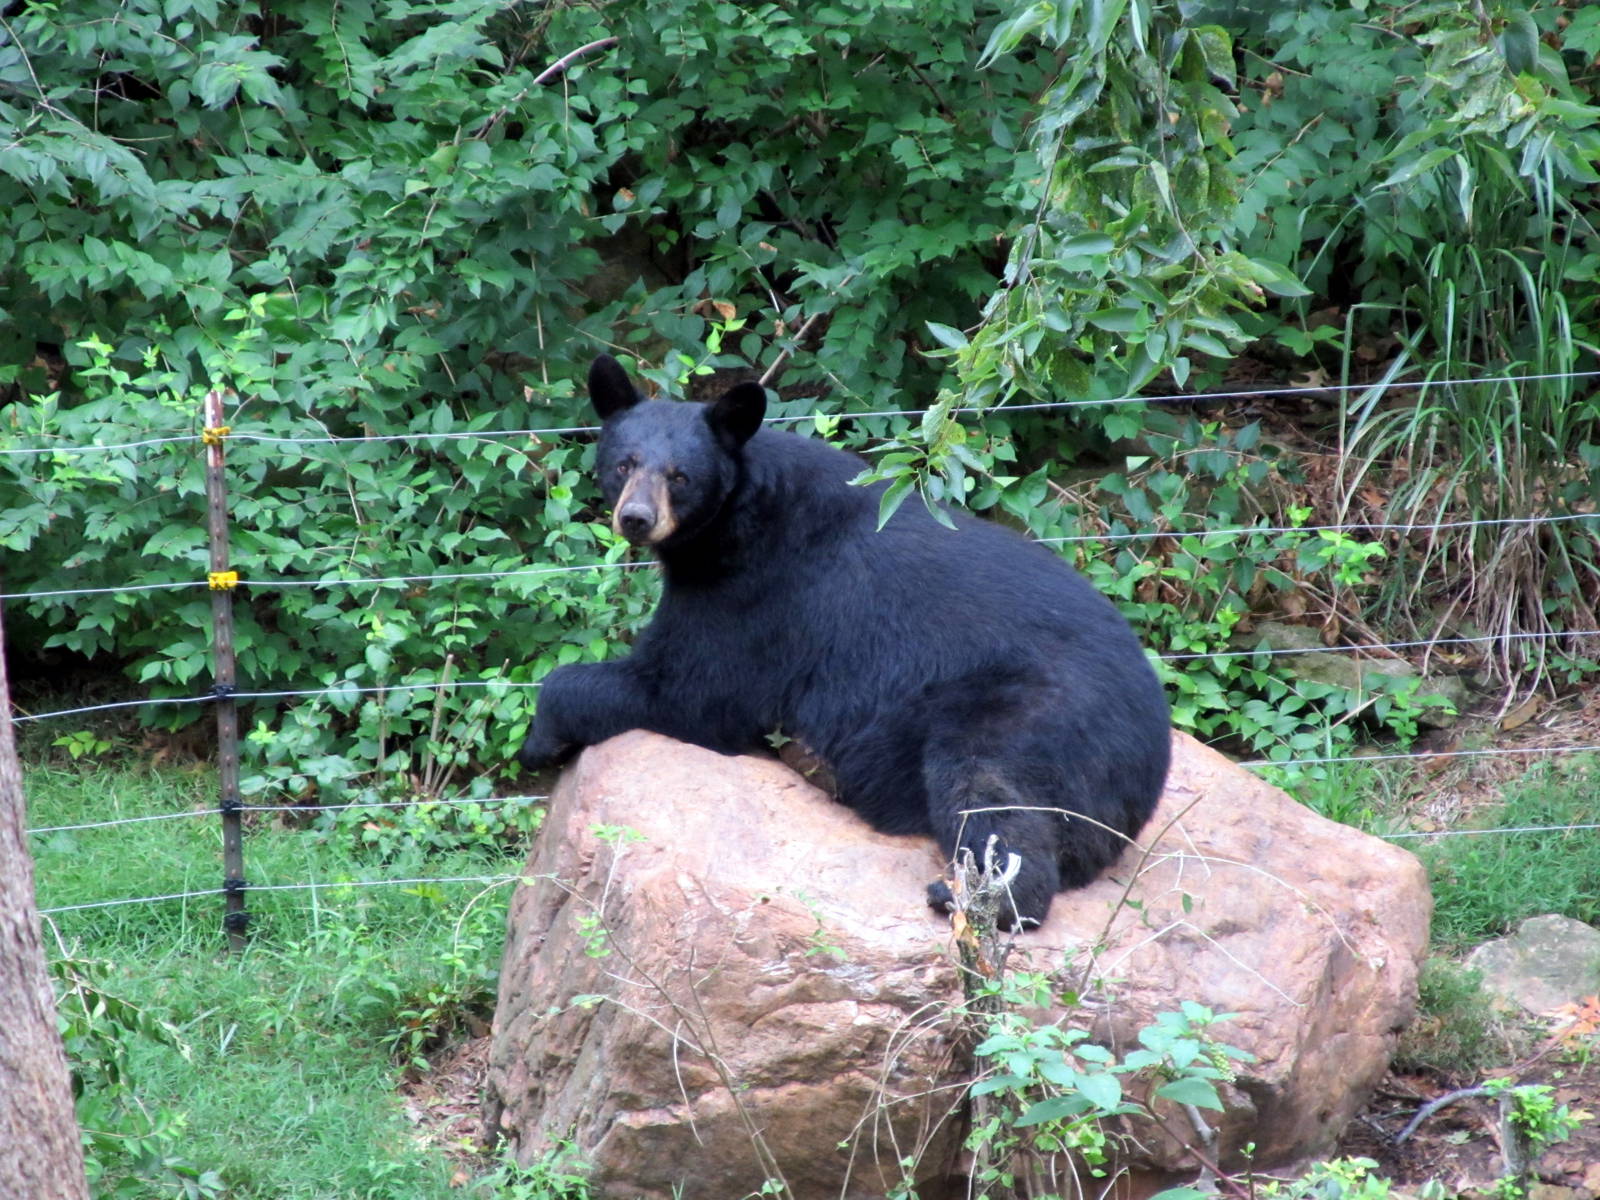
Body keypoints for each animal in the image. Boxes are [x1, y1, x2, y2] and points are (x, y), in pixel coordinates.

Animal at [517, 354, 1172, 930]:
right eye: (624, 464)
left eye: (680, 477)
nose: (636, 518)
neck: (734, 521)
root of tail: (1150, 761)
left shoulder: (761, 592)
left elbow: (692, 690)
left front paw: (538, 741)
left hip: (1034, 713)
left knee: (992, 795)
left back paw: (974, 895)